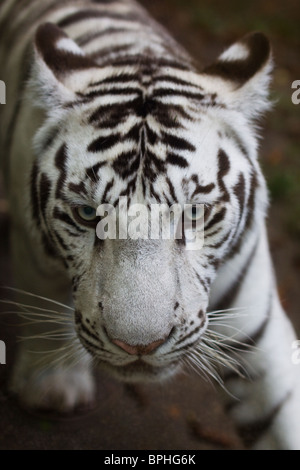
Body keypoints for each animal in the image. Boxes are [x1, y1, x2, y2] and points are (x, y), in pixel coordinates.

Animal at [0, 0, 300, 450]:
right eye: (86, 214)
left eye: (195, 214)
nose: (138, 346)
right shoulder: (31, 243)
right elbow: (41, 300)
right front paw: (52, 384)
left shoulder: (259, 336)